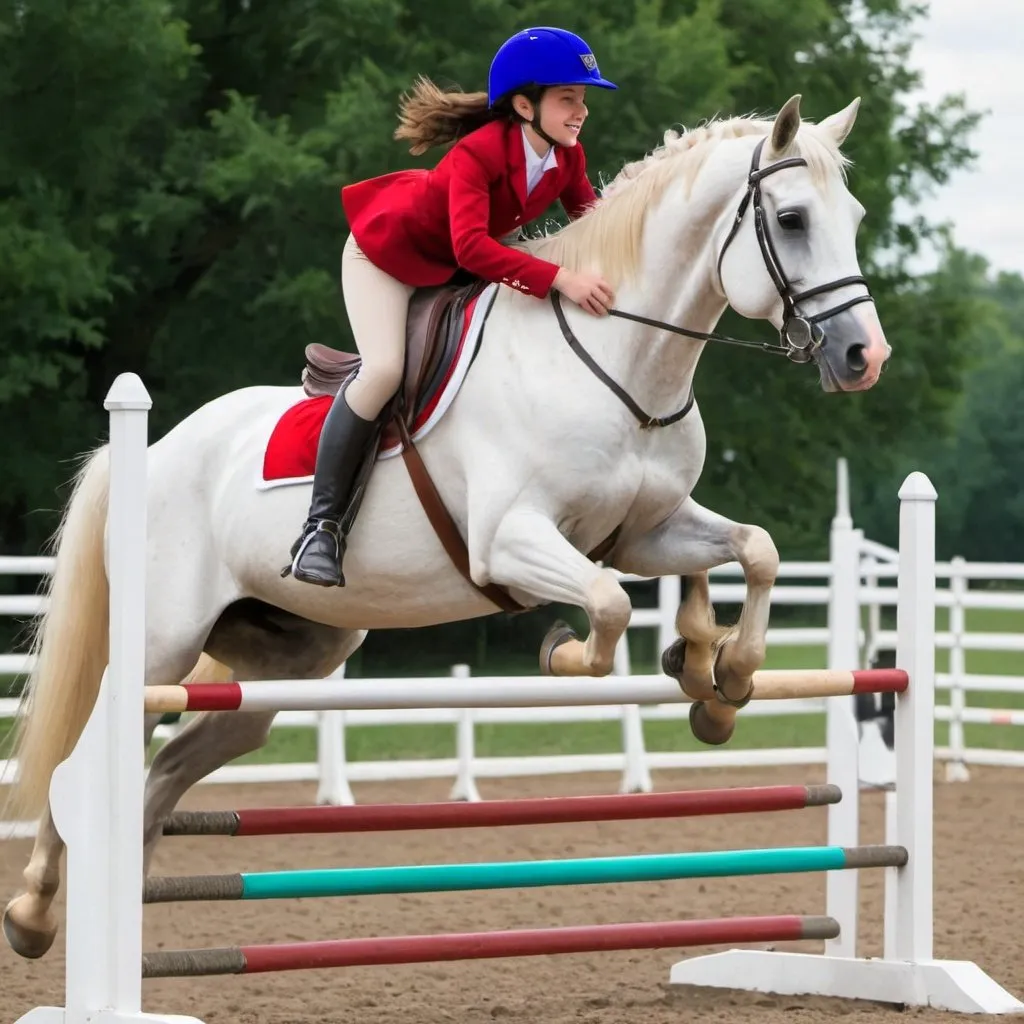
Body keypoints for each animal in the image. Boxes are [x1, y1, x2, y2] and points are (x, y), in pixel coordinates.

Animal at [4, 92, 888, 954]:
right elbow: (605, 610)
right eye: (792, 219)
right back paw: (35, 911)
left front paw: (720, 679)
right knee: (89, 756)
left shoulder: (646, 531)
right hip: (160, 644)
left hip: (282, 663)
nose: (863, 358)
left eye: (854, 215)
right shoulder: (512, 543)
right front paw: (565, 652)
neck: (618, 363)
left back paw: (121, 890)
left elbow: (755, 553)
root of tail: (154, 450)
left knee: (169, 768)